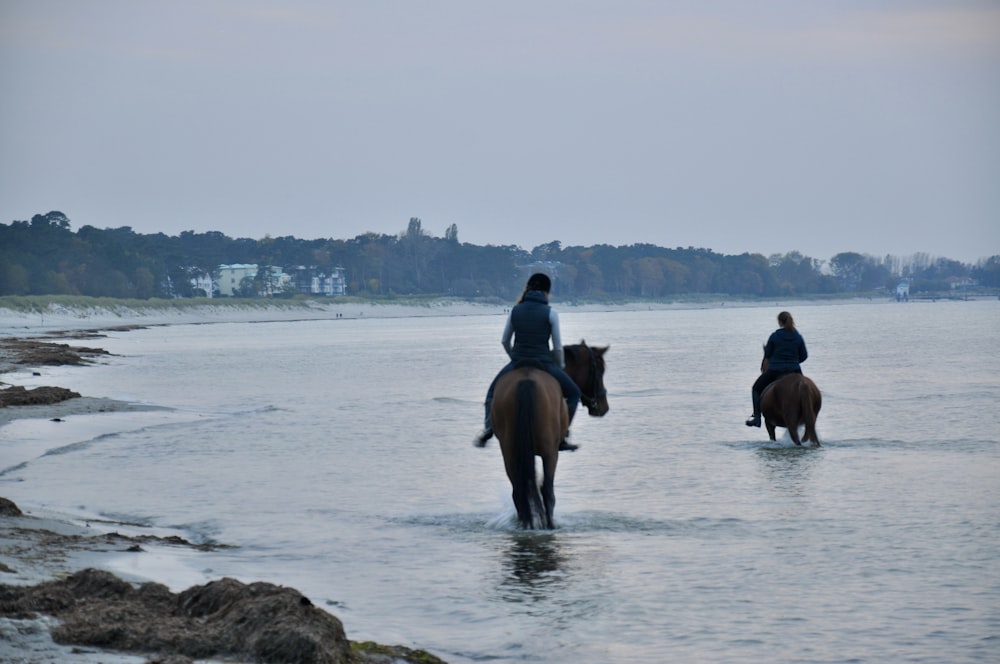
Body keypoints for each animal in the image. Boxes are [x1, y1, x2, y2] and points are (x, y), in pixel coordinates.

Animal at [492, 342, 608, 528]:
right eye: (600, 370)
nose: (604, 407)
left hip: (510, 453)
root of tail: (526, 381)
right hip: (550, 453)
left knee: (519, 490)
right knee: (547, 490)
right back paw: (549, 524)